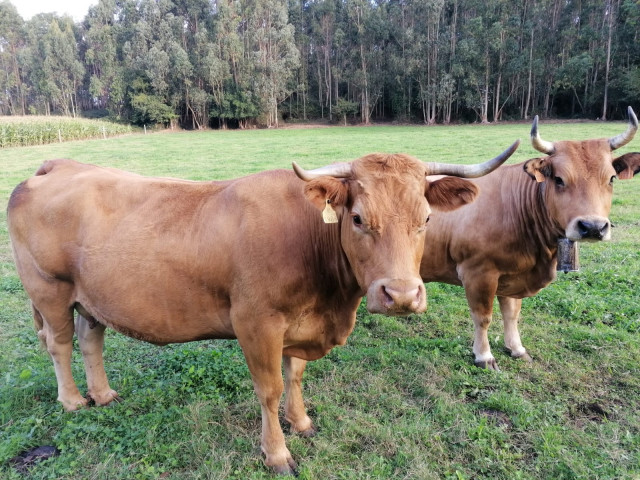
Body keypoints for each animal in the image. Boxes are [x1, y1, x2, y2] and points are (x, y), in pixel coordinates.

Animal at [6, 142, 518, 475]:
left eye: (426, 218)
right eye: (357, 218)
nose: (403, 296)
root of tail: (56, 166)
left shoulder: (299, 324)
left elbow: (296, 376)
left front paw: (302, 422)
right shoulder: (257, 323)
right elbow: (269, 389)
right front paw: (277, 453)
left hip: (91, 298)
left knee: (90, 338)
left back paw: (104, 394)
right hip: (49, 291)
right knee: (60, 343)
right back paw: (74, 401)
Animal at [419, 107, 639, 371]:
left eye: (611, 178)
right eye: (559, 179)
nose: (593, 227)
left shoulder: (511, 274)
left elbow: (512, 314)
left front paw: (516, 348)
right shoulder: (478, 273)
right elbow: (483, 317)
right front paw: (484, 356)